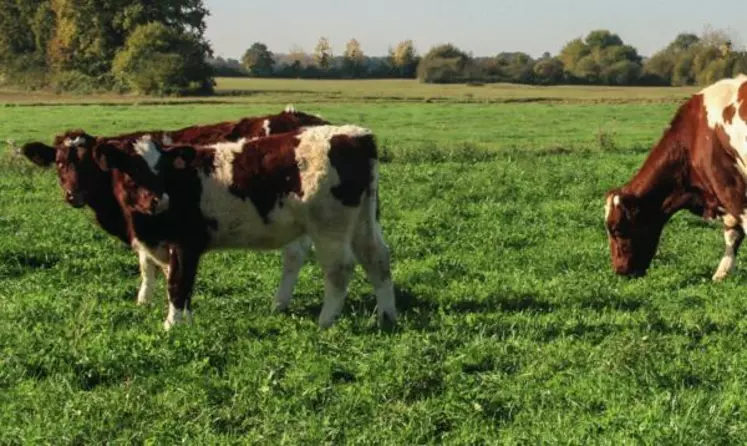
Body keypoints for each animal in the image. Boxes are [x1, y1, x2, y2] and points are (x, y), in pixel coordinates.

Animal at [19, 105, 330, 306]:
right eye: (60, 163)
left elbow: (148, 263)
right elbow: (152, 263)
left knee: (293, 255)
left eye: (86, 163)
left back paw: (279, 303)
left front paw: (145, 300)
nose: (72, 195)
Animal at [92, 123, 398, 330]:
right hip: (364, 223)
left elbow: (178, 284)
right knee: (377, 259)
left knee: (339, 270)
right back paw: (387, 315)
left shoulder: (185, 245)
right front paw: (186, 321)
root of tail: (356, 135)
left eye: (161, 169)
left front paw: (173, 325)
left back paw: (325, 320)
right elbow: (182, 284)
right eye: (131, 170)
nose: (158, 200)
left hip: (329, 228)